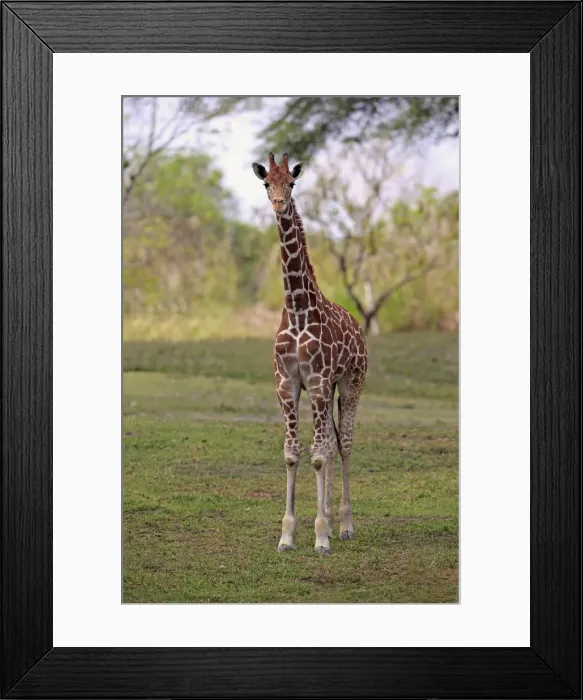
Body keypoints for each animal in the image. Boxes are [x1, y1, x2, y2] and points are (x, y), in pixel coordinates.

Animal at [252, 153, 368, 555]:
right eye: (266, 182)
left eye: (292, 183)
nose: (278, 203)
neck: (298, 309)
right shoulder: (287, 384)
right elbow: (293, 454)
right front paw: (288, 536)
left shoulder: (317, 382)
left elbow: (318, 455)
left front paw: (320, 537)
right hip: (329, 389)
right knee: (332, 443)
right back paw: (333, 520)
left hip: (351, 384)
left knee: (343, 445)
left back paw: (344, 526)